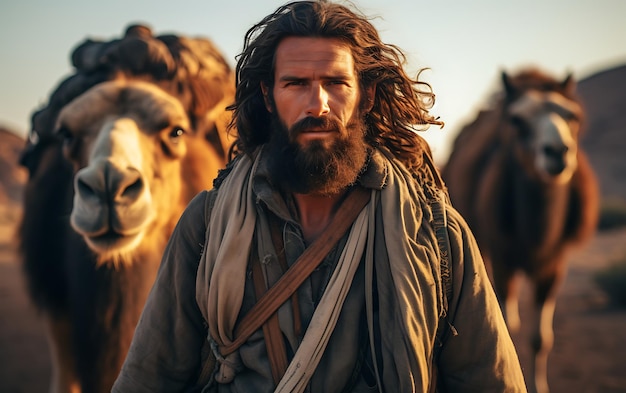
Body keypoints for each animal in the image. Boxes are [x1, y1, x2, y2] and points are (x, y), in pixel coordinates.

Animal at [442, 68, 596, 392]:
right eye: (516, 119)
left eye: (573, 115)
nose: (557, 152)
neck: (535, 237)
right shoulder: (503, 258)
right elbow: (506, 328)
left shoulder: (554, 263)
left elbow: (541, 339)